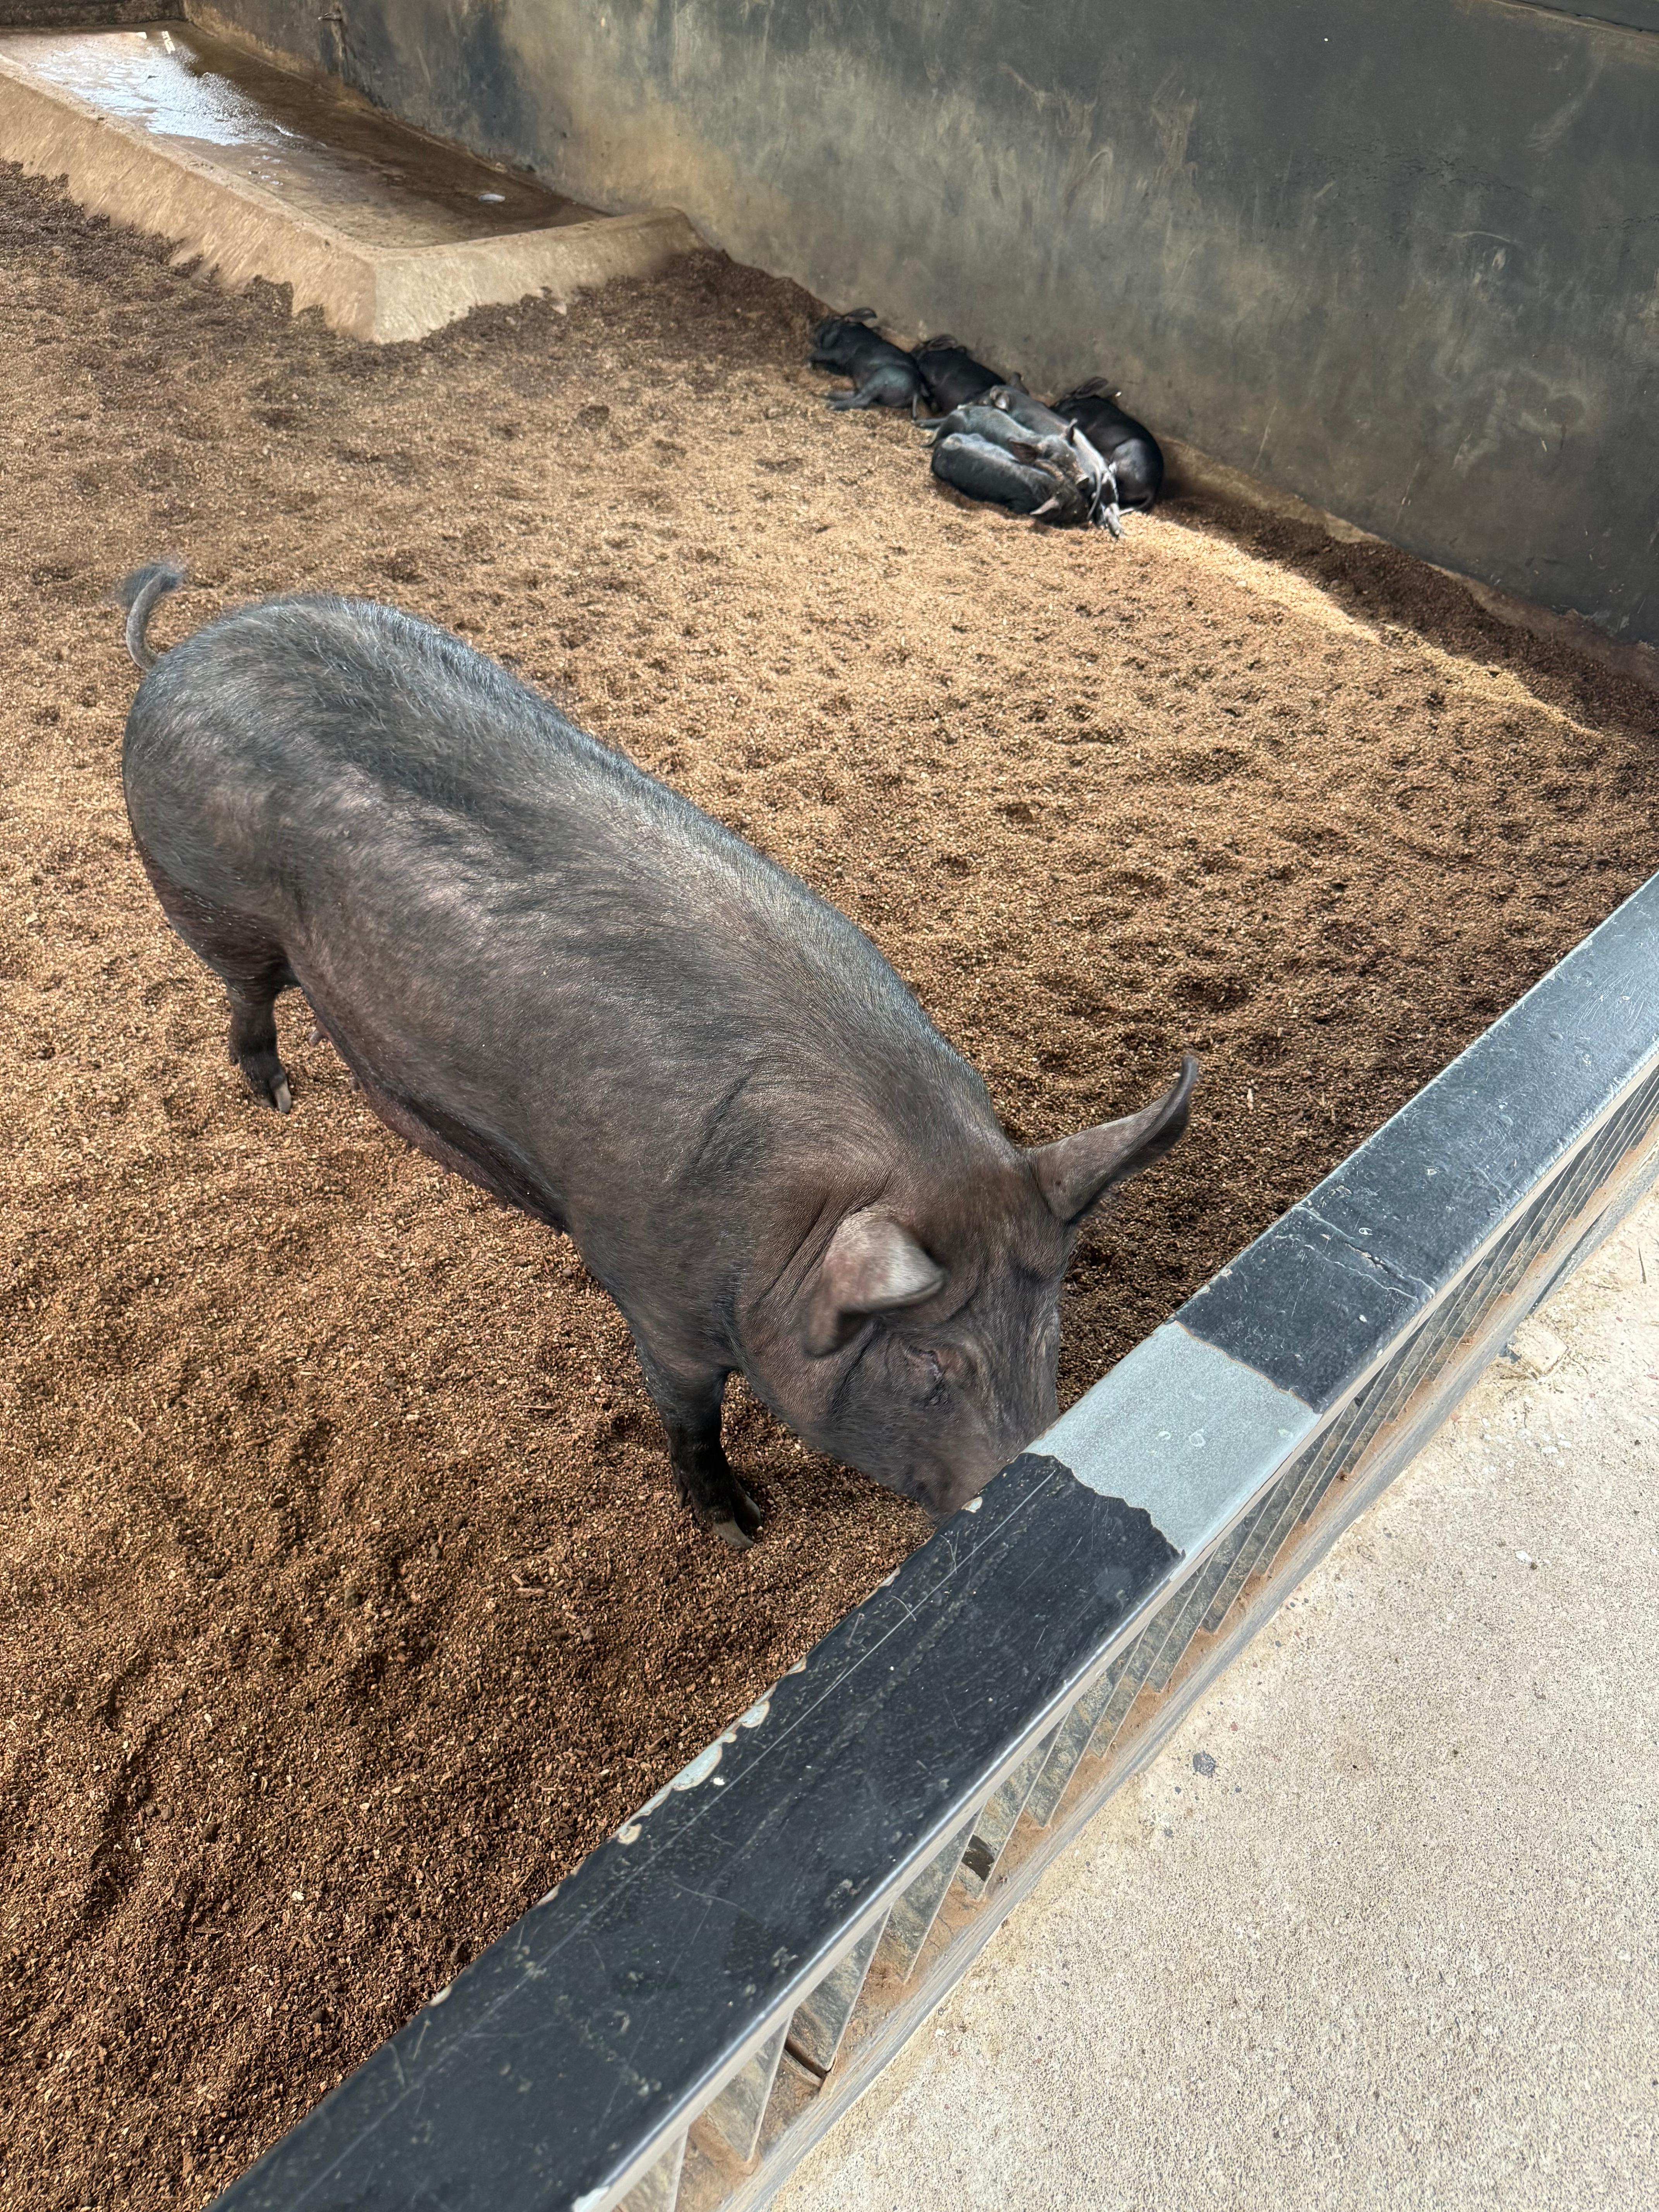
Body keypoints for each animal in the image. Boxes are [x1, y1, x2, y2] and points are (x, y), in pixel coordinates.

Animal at [116, 563, 1198, 1547]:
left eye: (1049, 1330)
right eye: (932, 1365)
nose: (1038, 1498)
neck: (802, 1216)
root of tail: (182, 653)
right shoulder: (653, 1293)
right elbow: (688, 1415)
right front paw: (740, 1529)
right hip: (207, 902)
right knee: (247, 995)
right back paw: (277, 1097)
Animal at [806, 308, 925, 412]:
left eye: (833, 318)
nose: (814, 326)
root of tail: (916, 392)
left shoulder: (841, 352)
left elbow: (818, 354)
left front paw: (809, 366)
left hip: (881, 378)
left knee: (863, 401)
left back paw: (830, 405)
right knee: (858, 394)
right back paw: (826, 394)